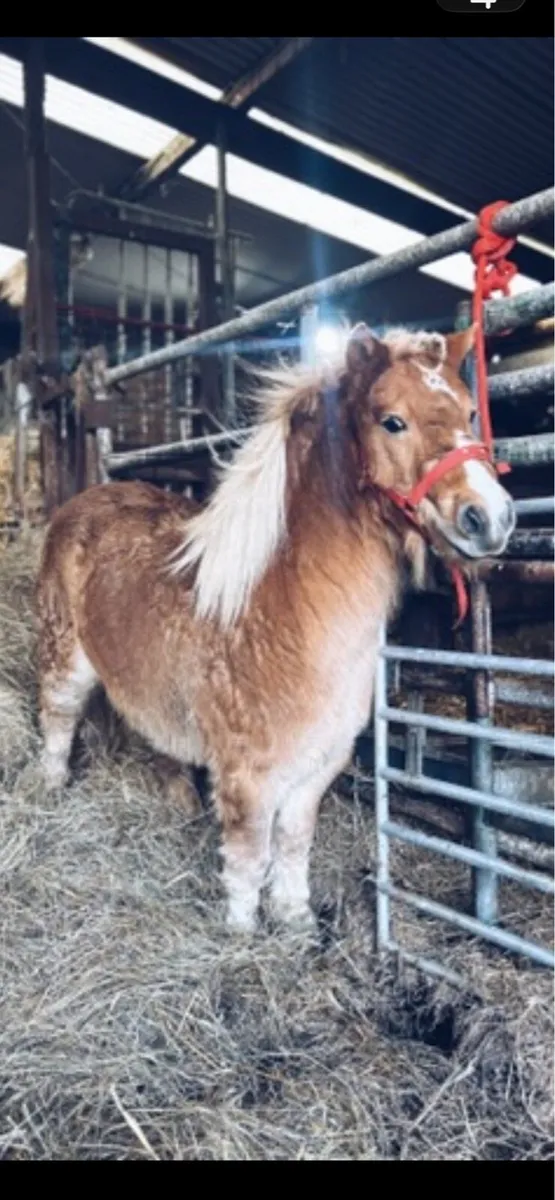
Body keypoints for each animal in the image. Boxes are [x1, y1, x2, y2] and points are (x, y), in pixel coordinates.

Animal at [35, 322, 515, 934]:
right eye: (392, 421)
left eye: (470, 414)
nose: (491, 517)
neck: (282, 610)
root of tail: (87, 498)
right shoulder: (249, 776)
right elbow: (249, 854)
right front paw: (241, 933)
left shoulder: (317, 766)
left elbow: (292, 842)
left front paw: (296, 920)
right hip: (65, 658)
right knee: (58, 720)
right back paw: (48, 788)